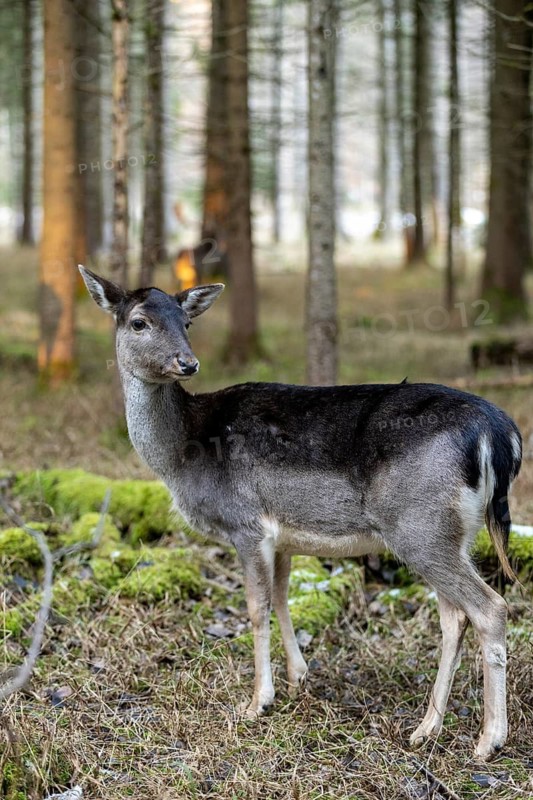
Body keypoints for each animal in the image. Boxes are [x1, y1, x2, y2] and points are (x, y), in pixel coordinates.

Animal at [79, 265, 522, 761]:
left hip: (419, 526)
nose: (187, 363)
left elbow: (255, 608)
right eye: (139, 322)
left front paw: (257, 701)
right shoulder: (283, 538)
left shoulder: (246, 524)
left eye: (186, 321)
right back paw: (427, 727)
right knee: (454, 617)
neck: (184, 453)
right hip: (450, 533)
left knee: (490, 608)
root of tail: (499, 433)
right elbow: (282, 597)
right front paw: (298, 676)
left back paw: (488, 739)